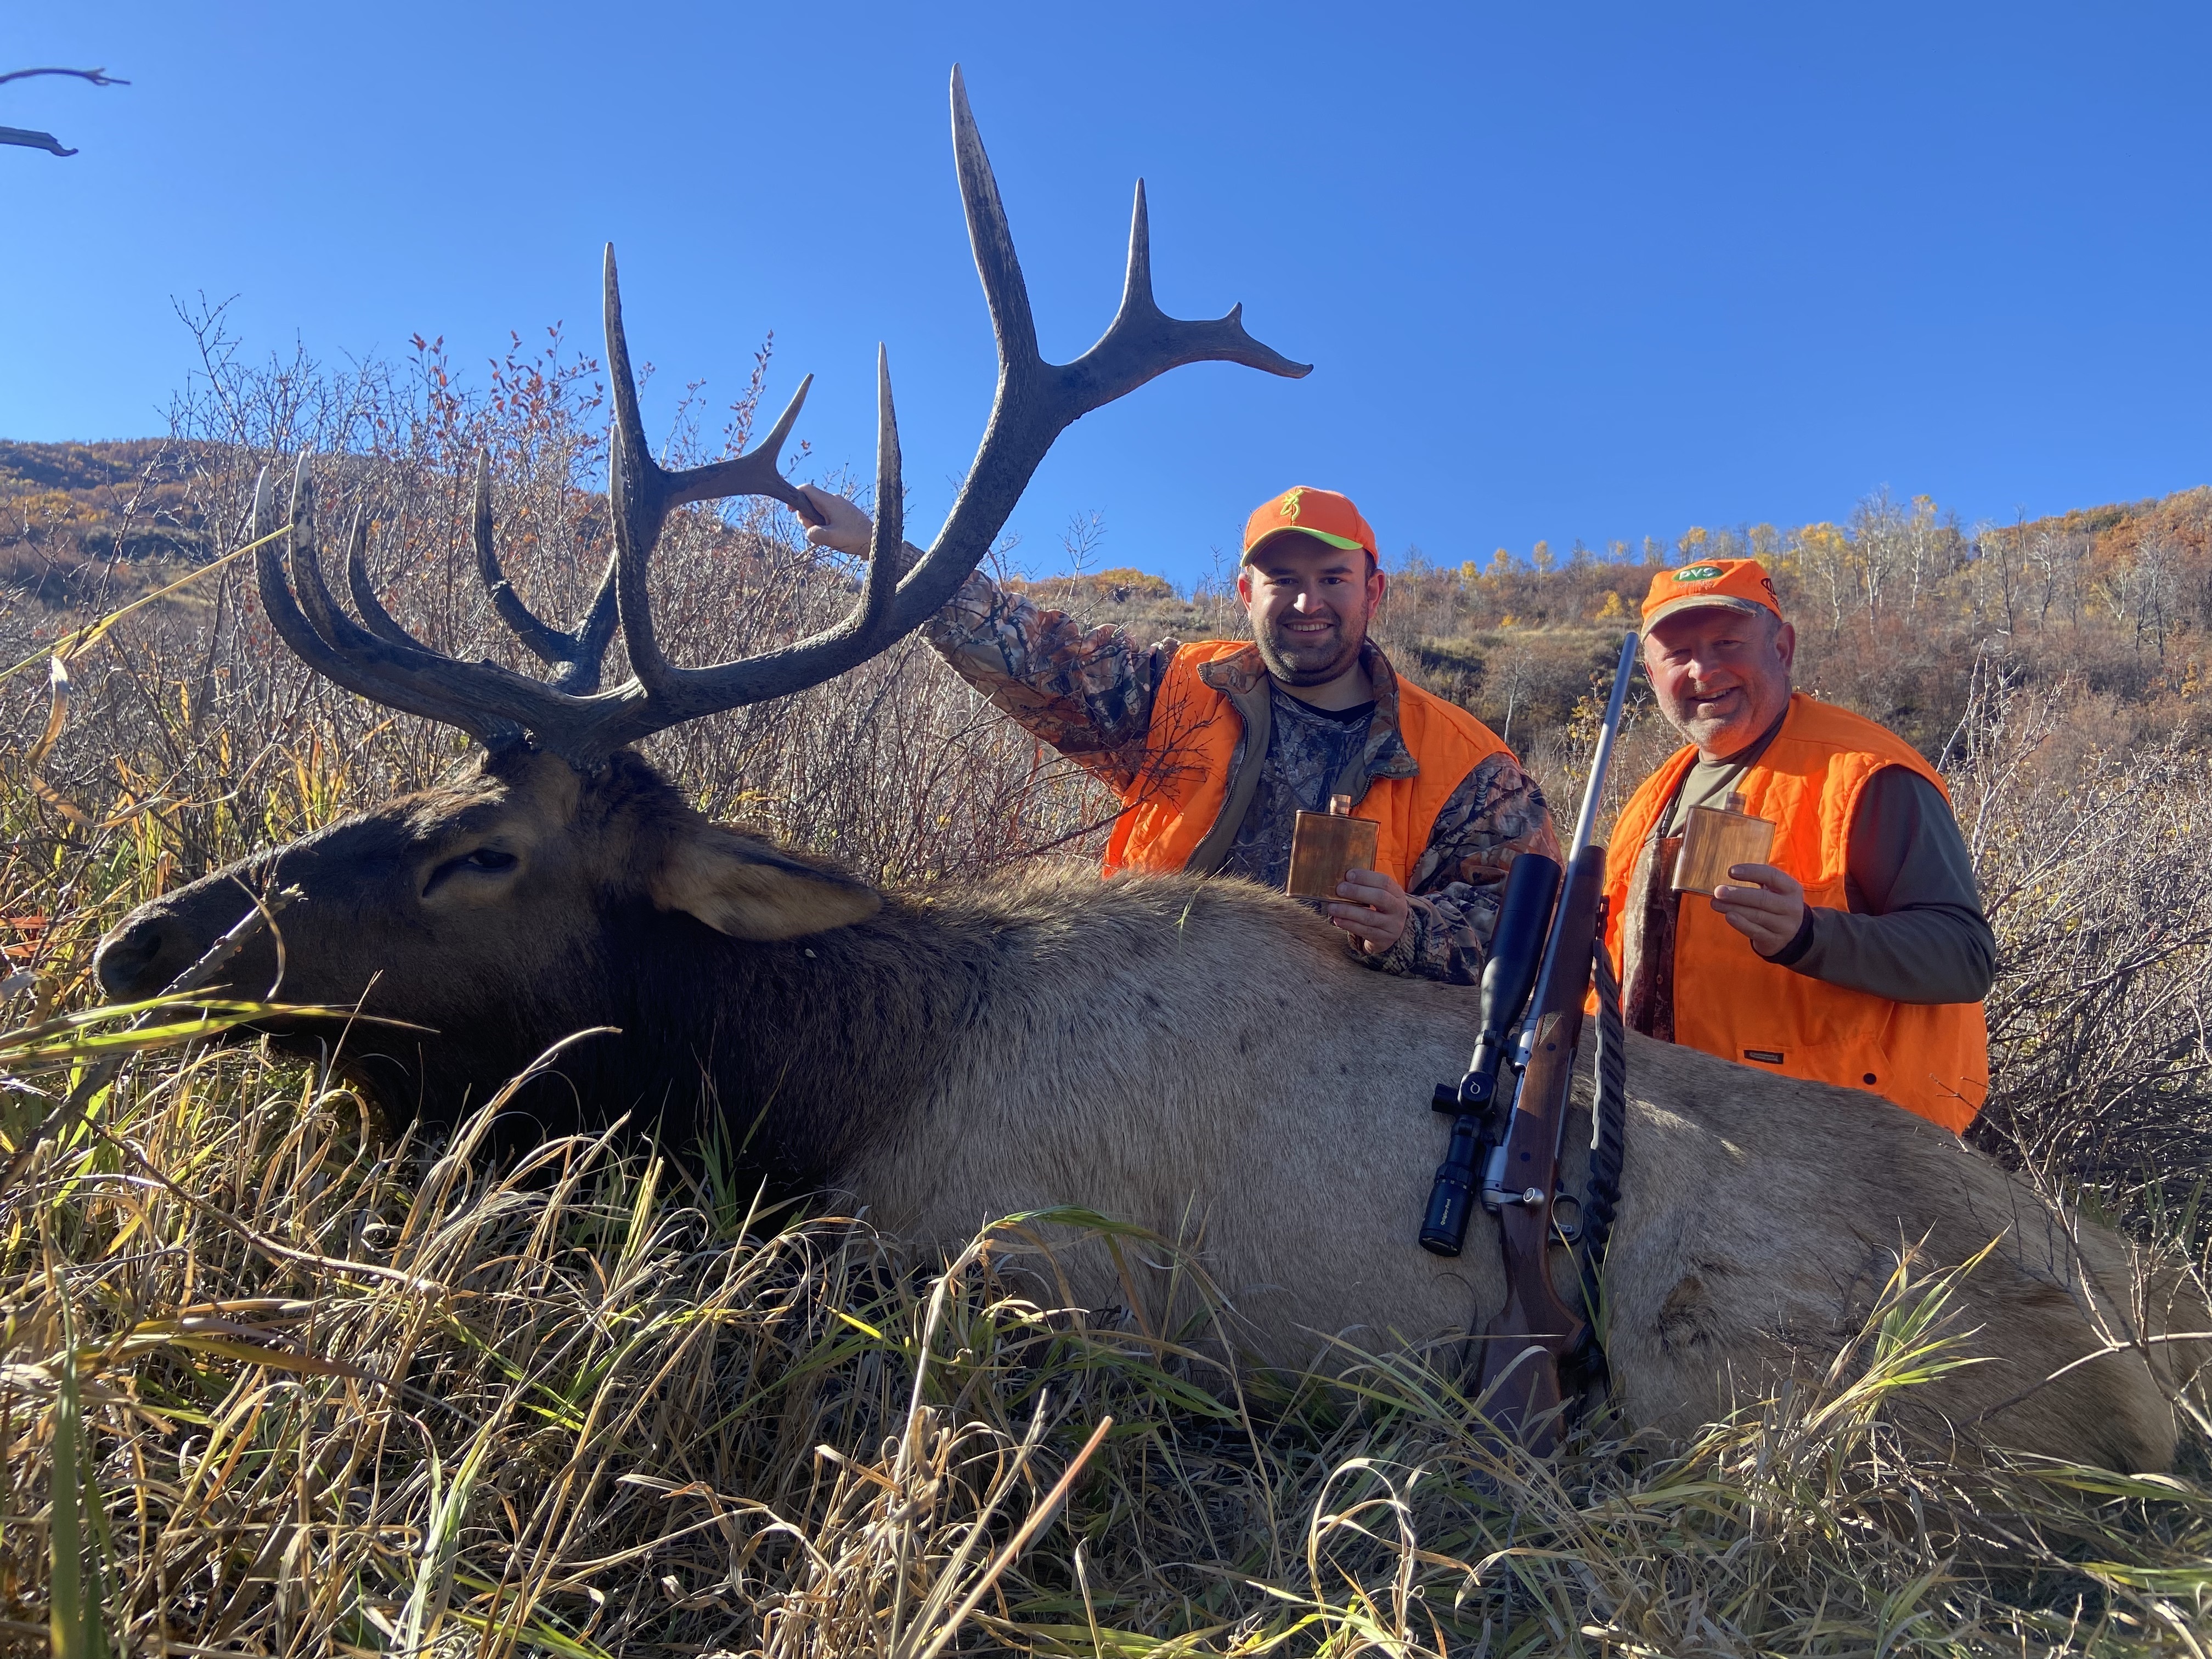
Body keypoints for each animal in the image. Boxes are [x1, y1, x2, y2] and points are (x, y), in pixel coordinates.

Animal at [94, 71, 2203, 1472]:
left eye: (481, 851)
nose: (145, 941)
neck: (830, 1077)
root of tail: (2148, 1351)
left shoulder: (1015, 1263)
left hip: (1781, 1396)